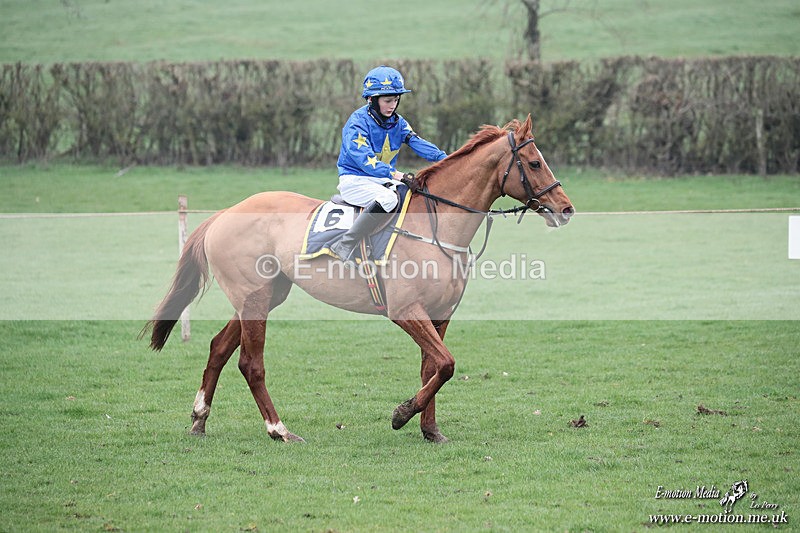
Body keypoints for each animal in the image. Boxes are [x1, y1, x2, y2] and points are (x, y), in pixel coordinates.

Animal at [143, 115, 574, 443]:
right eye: (535, 163)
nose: (565, 208)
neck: (435, 226)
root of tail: (224, 213)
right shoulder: (405, 310)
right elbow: (447, 364)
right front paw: (402, 414)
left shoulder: (440, 315)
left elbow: (434, 368)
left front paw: (430, 430)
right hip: (254, 299)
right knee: (251, 364)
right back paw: (279, 429)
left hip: (263, 296)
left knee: (218, 348)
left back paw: (200, 419)